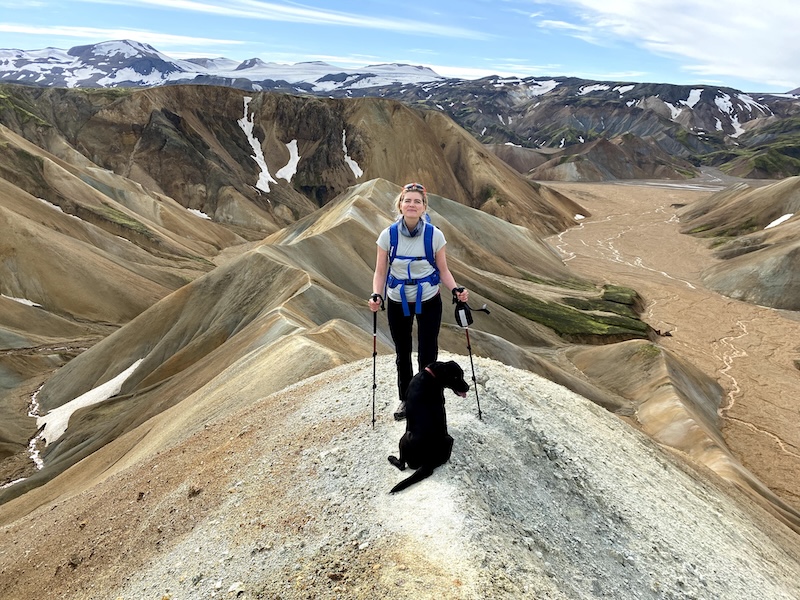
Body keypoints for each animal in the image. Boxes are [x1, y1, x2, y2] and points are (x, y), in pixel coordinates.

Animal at [388, 360, 468, 492]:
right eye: (456, 377)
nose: (468, 387)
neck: (432, 374)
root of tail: (428, 460)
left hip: (404, 438)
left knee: (402, 465)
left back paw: (391, 458)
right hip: (449, 439)